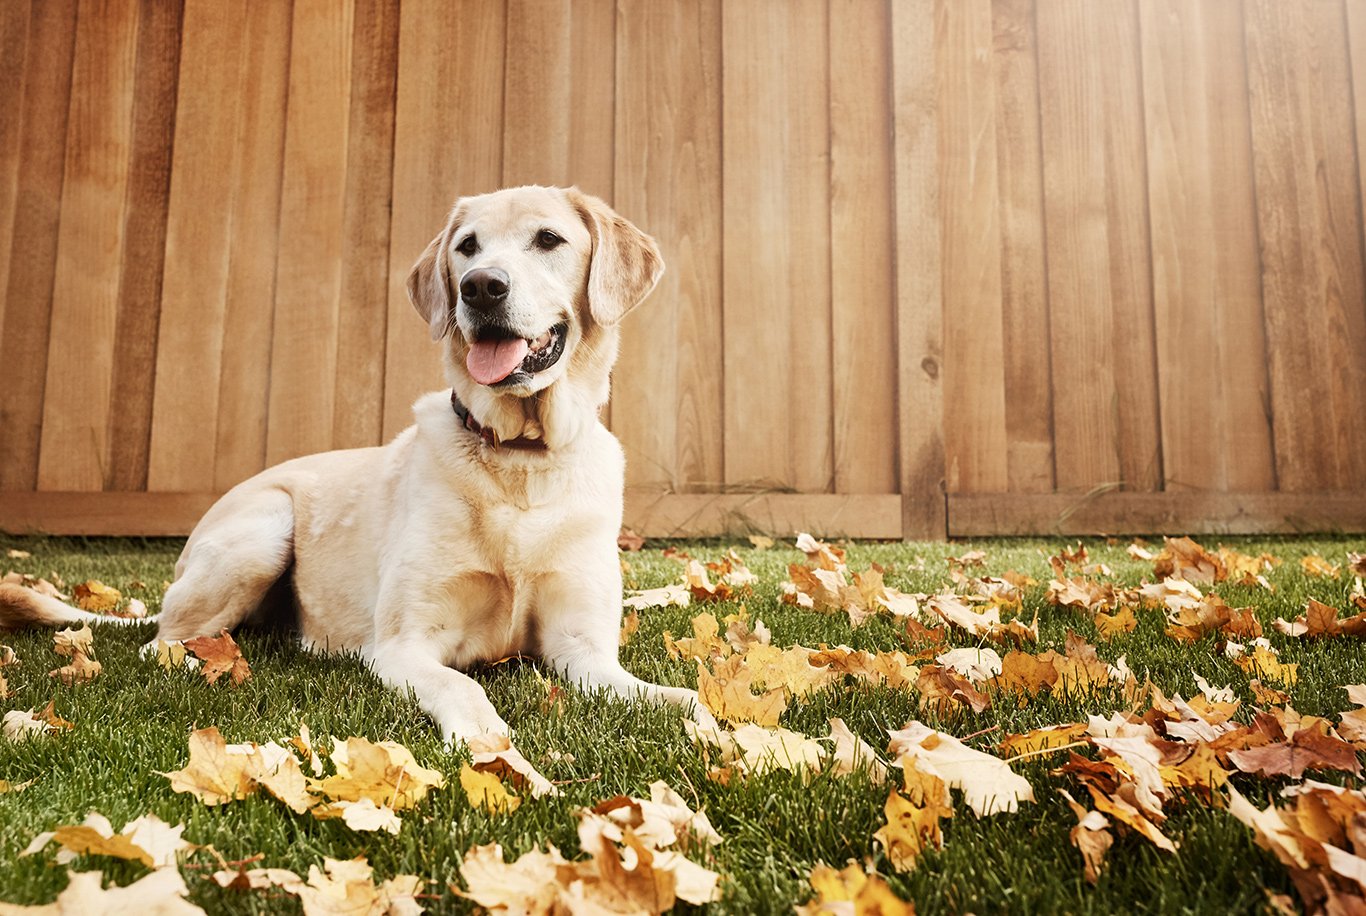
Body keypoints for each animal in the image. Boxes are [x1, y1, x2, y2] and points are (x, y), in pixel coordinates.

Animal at [0, 184, 721, 742]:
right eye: (467, 247)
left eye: (548, 239)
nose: (480, 287)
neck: (519, 461)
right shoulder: (405, 645)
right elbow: (464, 689)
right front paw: (492, 747)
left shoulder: (585, 651)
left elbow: (679, 698)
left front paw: (727, 736)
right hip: (264, 528)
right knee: (162, 643)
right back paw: (209, 657)